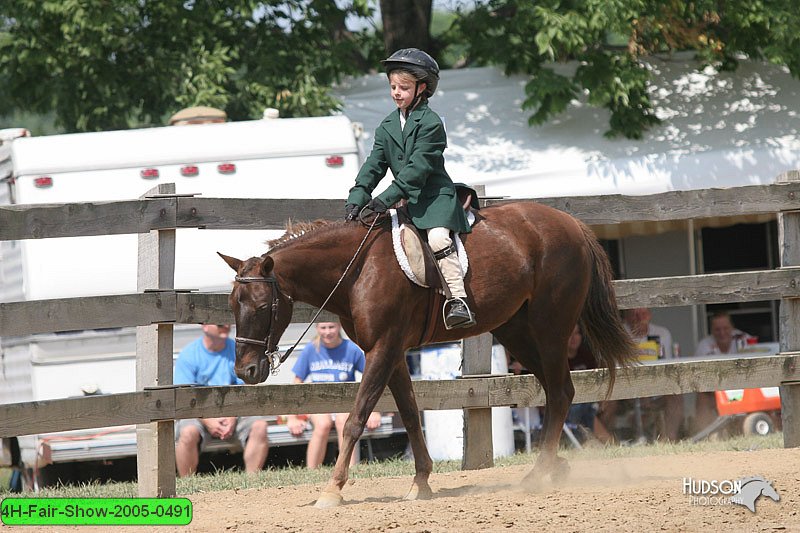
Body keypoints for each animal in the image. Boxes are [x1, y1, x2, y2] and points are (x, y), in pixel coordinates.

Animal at [219, 201, 636, 508]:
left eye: (261, 306)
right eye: (232, 304)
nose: (246, 370)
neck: (357, 268)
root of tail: (572, 223)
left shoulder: (383, 348)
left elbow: (356, 418)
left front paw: (332, 489)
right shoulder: (390, 351)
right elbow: (408, 413)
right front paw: (420, 482)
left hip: (550, 328)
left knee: (562, 391)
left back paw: (537, 474)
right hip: (516, 331)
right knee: (555, 391)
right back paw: (553, 467)